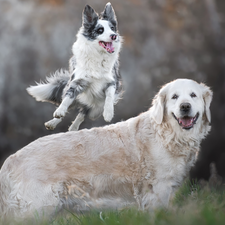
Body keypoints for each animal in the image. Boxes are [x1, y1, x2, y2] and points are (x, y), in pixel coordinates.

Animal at [0, 78, 212, 218]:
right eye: (175, 97)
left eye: (193, 95)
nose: (185, 107)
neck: (168, 134)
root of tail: (10, 160)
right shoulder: (158, 190)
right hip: (37, 209)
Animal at [28, 2, 124, 131]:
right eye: (100, 30)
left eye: (112, 28)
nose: (114, 36)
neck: (98, 55)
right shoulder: (77, 82)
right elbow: (66, 100)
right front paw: (59, 112)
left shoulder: (112, 82)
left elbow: (109, 97)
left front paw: (108, 113)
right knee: (69, 105)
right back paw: (53, 122)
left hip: (95, 107)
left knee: (83, 112)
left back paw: (73, 128)